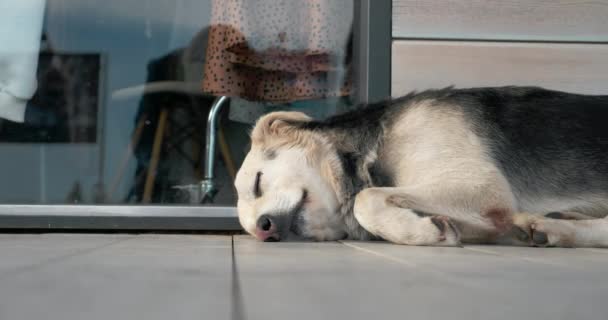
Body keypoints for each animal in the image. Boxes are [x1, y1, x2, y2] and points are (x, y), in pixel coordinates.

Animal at [234, 85, 608, 248]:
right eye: (253, 229)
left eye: (257, 182)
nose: (264, 229)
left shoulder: (482, 186)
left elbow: (365, 199)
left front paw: (424, 232)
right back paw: (553, 226)